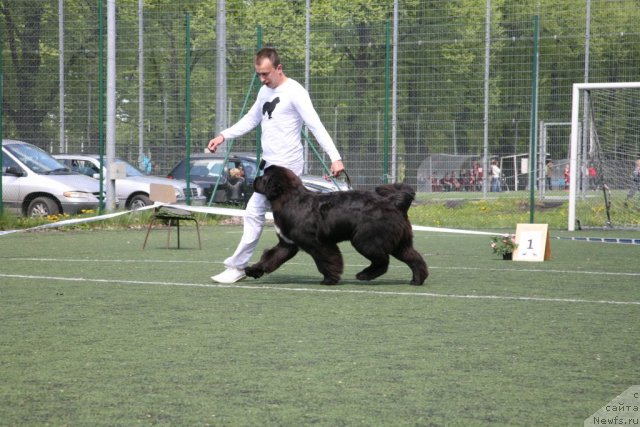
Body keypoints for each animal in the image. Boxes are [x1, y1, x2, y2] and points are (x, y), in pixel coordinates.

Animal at [245, 166, 430, 286]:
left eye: (264, 177)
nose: (254, 179)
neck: (290, 199)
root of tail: (393, 202)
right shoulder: (287, 244)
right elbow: (270, 258)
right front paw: (253, 270)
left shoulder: (318, 244)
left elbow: (327, 260)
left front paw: (330, 279)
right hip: (399, 242)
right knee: (414, 258)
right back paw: (417, 280)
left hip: (365, 240)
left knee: (382, 261)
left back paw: (364, 275)